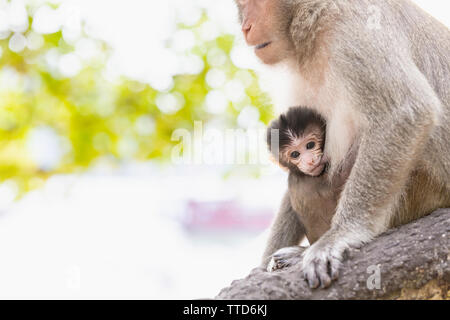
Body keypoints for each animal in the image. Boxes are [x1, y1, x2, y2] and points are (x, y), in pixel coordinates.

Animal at [234, 0, 450, 288]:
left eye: (255, 3)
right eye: (241, 5)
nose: (246, 27)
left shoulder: (353, 23)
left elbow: (404, 111)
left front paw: (340, 235)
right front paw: (259, 269)